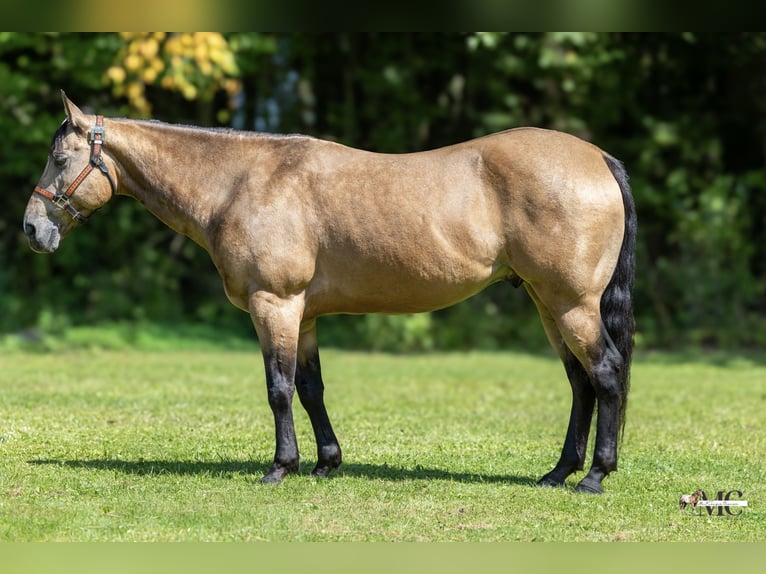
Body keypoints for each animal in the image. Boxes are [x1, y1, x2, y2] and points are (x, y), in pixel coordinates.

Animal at [23, 91, 636, 494]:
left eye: (60, 158)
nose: (31, 229)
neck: (240, 183)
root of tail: (597, 157)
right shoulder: (306, 316)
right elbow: (310, 388)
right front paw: (325, 463)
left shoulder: (274, 305)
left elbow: (278, 388)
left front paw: (280, 467)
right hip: (547, 304)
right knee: (580, 383)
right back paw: (559, 473)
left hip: (571, 305)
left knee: (604, 373)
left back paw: (594, 476)